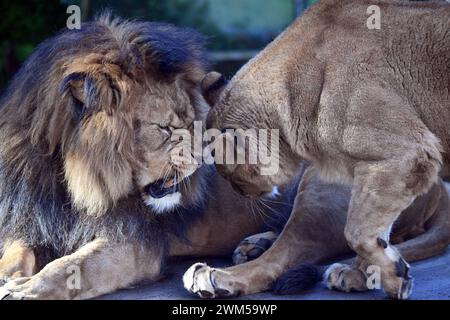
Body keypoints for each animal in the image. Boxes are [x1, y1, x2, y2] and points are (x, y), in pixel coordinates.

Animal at [0, 14, 282, 300]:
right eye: (165, 127)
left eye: (192, 120)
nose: (207, 156)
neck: (72, 183)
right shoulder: (32, 220)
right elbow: (14, 253)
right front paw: (8, 278)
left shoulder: (134, 241)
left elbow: (74, 265)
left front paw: (27, 289)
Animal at [184, 0, 450, 300]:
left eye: (228, 173)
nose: (240, 193)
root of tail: (441, 192)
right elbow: (375, 230)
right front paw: (377, 274)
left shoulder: (406, 153)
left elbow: (358, 232)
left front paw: (394, 278)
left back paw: (215, 277)